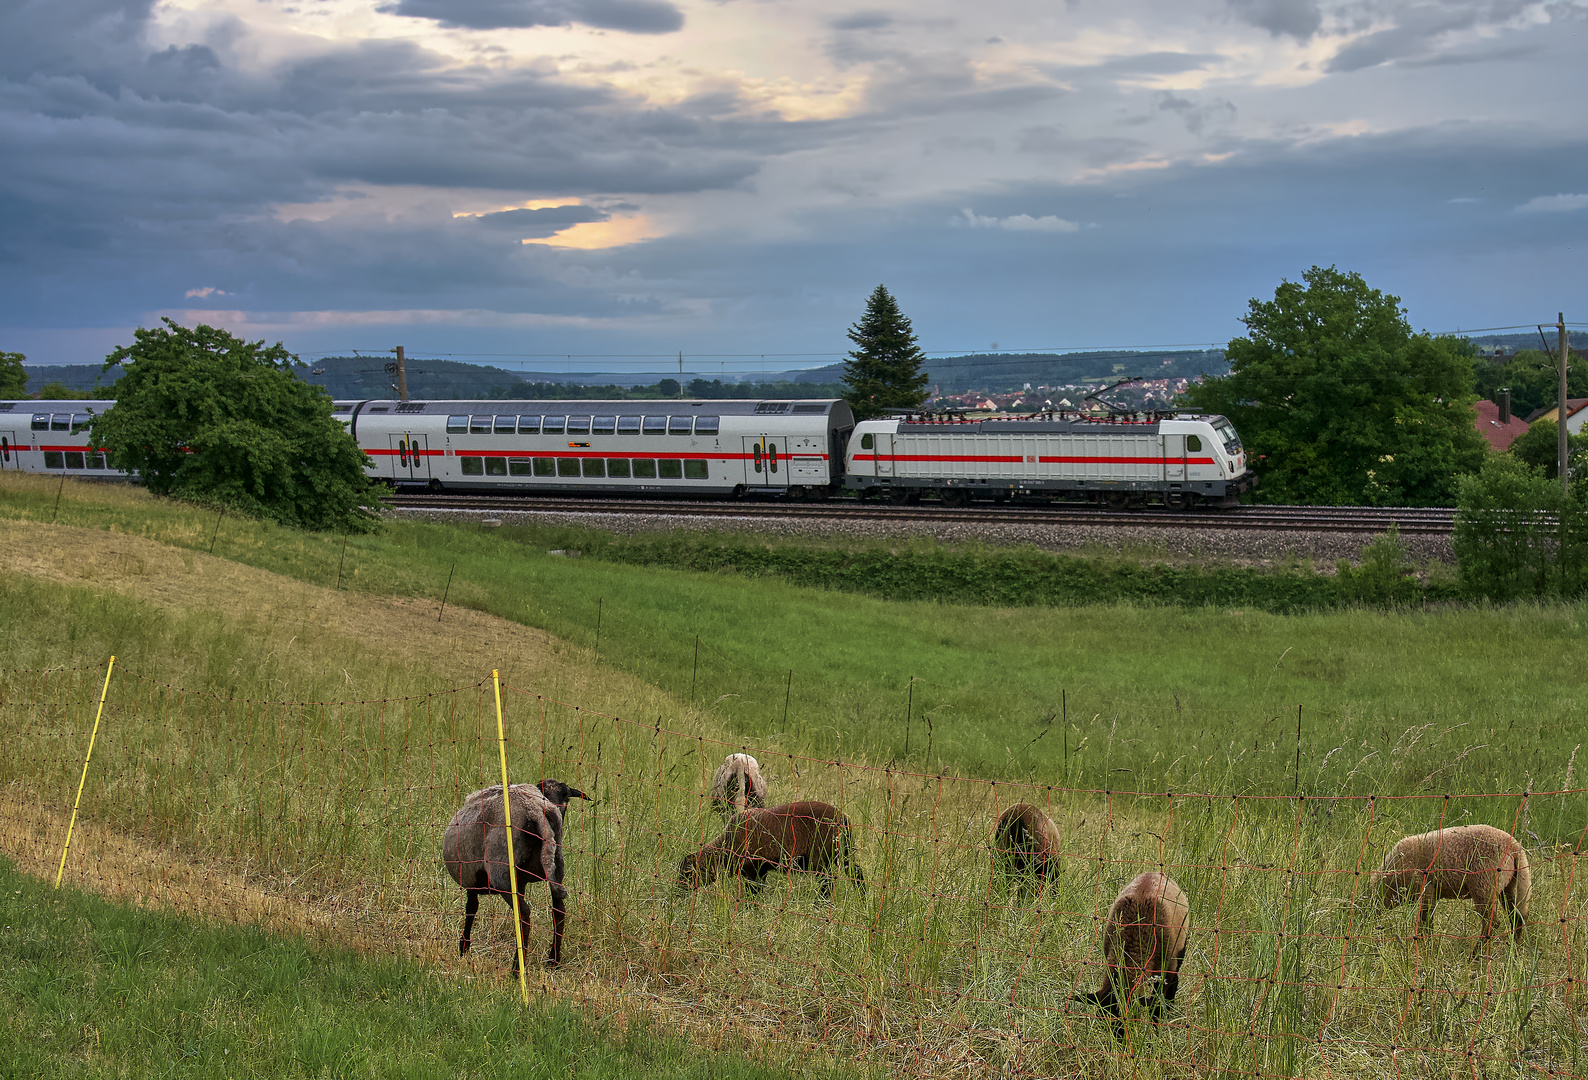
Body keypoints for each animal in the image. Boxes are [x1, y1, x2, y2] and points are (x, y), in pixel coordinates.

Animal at [441, 784, 578, 972]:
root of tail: (534, 809)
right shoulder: (519, 882)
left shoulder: (472, 879)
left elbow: (471, 909)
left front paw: (463, 948)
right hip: (556, 867)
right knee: (559, 910)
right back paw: (553, 961)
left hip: (502, 875)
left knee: (524, 914)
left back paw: (516, 969)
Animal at [673, 797, 863, 895]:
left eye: (686, 873)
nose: (678, 892)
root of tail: (844, 818)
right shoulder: (761, 869)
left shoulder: (753, 868)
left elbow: (753, 893)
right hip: (842, 854)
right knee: (856, 872)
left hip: (823, 859)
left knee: (827, 885)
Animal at [1073, 870, 1187, 1035]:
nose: (1117, 1039)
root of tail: (1155, 872)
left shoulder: (1166, 970)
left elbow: (1156, 1006)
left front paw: (1155, 1033)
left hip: (1180, 951)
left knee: (1175, 981)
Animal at [1372, 819, 1530, 940]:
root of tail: (1515, 848)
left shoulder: (1424, 890)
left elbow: (1426, 921)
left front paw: (1426, 947)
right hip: (1512, 884)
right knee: (1517, 918)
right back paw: (1515, 951)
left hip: (1484, 884)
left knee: (1492, 923)